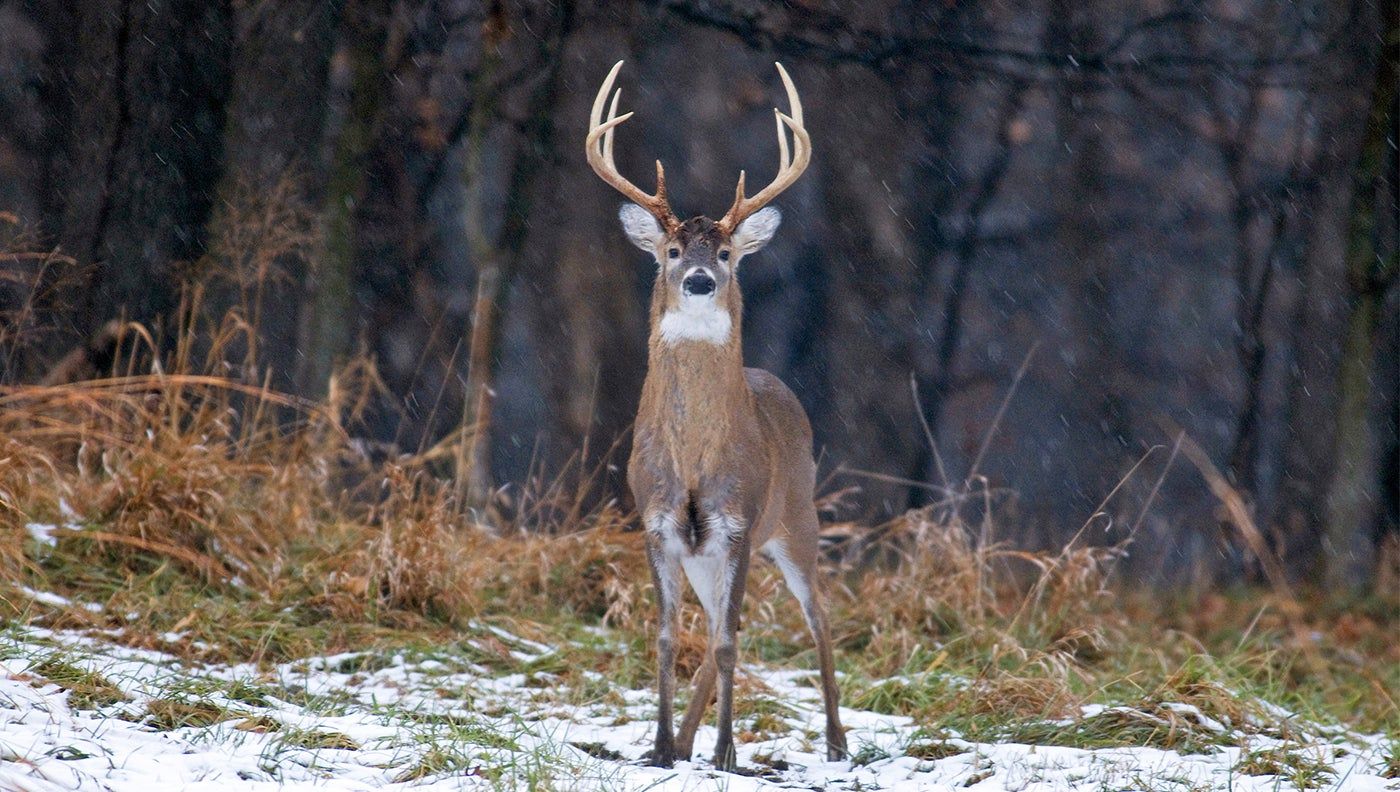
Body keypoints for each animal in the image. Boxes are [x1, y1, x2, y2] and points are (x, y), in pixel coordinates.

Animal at [584, 60, 846, 772]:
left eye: (726, 253)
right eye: (672, 252)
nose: (701, 279)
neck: (696, 462)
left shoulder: (737, 524)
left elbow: (727, 643)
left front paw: (727, 751)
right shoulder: (657, 524)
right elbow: (670, 638)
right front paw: (659, 749)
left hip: (796, 520)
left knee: (816, 617)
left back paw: (837, 742)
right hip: (713, 553)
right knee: (720, 625)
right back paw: (685, 739)